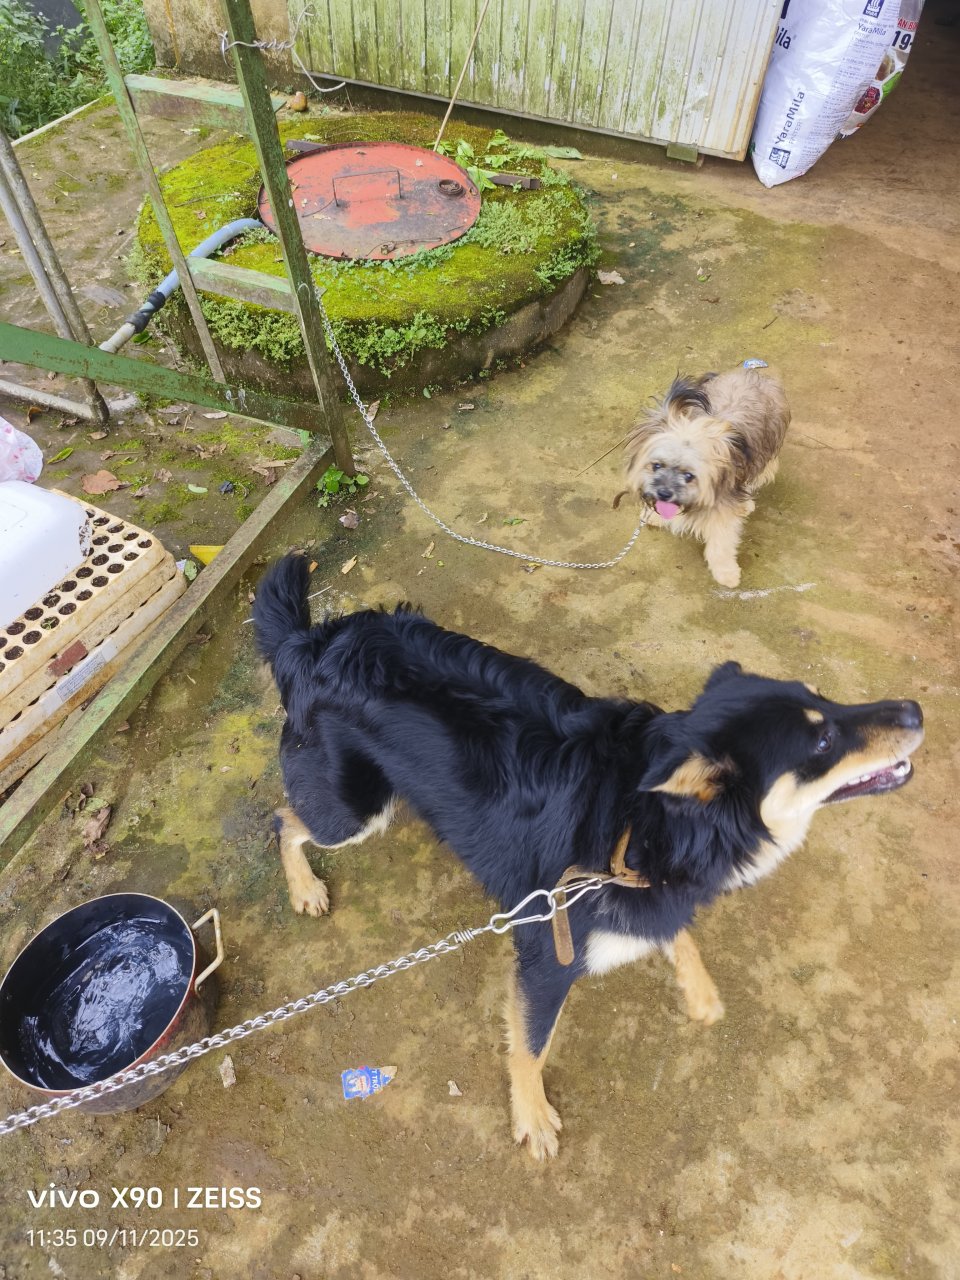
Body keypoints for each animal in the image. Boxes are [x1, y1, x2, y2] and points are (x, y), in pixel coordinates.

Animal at [253, 554, 923, 1160]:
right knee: (284, 820)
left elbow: (671, 929)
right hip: (354, 813)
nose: (917, 710)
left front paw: (698, 989)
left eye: (825, 699)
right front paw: (532, 1117)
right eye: (823, 741)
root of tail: (314, 642)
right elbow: (530, 1046)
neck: (646, 823)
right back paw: (304, 888)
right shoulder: (547, 951)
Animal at [619, 367, 790, 588]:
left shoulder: (723, 506)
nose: (664, 493)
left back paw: (746, 503)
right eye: (656, 465)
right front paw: (655, 515)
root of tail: (753, 372)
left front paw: (726, 571)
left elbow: (721, 543)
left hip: (765, 452)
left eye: (689, 475)